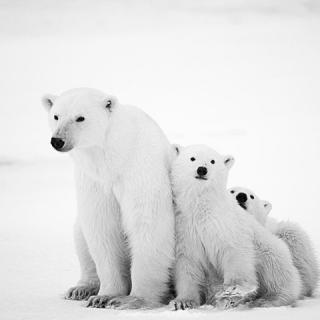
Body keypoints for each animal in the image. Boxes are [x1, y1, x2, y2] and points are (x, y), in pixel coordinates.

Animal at [42, 89, 175, 308]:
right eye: (56, 116)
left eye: (80, 117)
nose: (58, 141)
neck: (113, 158)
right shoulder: (94, 181)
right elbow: (102, 228)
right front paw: (104, 296)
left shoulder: (139, 170)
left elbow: (147, 224)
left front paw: (133, 299)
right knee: (80, 235)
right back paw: (81, 288)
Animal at [170, 146, 302, 310]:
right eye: (192, 158)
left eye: (212, 161)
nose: (202, 169)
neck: (202, 208)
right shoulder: (186, 229)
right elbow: (188, 264)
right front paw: (183, 302)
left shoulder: (226, 224)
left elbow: (235, 251)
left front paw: (232, 289)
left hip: (271, 250)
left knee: (276, 272)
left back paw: (267, 299)